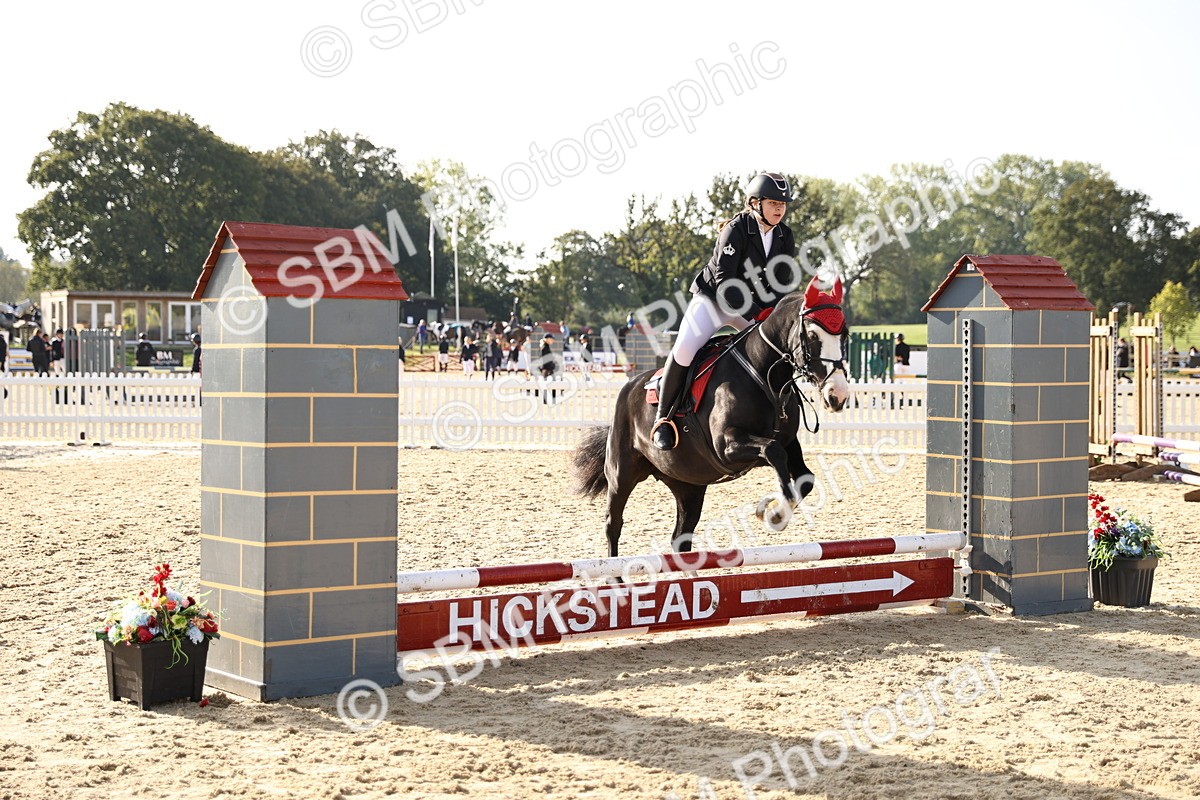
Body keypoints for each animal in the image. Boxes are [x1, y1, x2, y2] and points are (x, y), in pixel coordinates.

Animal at [573, 278, 851, 557]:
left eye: (845, 334)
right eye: (813, 335)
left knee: (680, 537)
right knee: (613, 524)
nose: (837, 395)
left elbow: (804, 479)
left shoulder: (788, 443)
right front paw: (774, 514)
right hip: (622, 475)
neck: (765, 375)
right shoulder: (727, 446)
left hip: (689, 485)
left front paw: (770, 509)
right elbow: (774, 451)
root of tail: (629, 386)